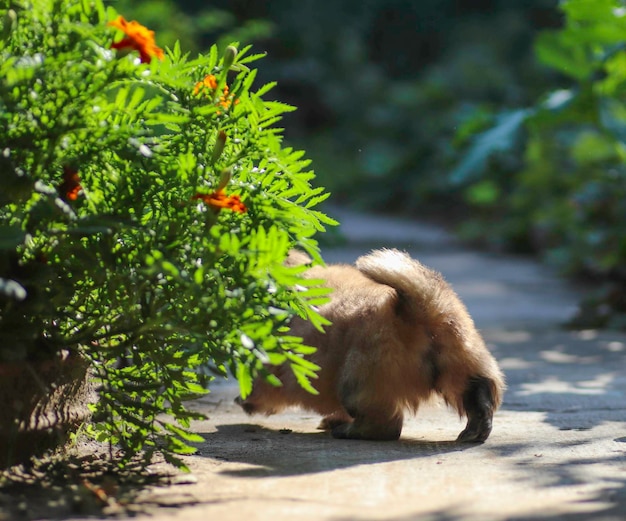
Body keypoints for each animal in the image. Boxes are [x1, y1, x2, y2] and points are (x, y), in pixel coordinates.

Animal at [234, 250, 502, 440]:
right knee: (476, 391)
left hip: (356, 381)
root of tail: (415, 311)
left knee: (386, 425)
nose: (238, 401)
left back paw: (349, 431)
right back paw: (476, 429)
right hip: (460, 360)